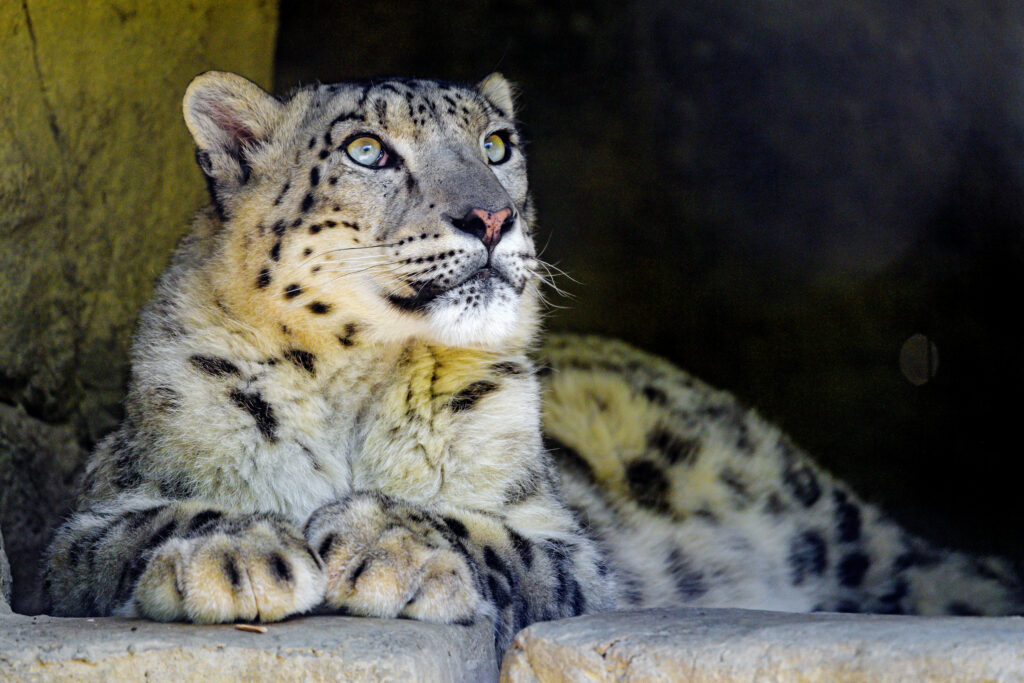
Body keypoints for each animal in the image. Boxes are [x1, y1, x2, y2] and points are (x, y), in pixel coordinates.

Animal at [43, 71, 1023, 663]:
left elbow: (495, 534)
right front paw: (237, 549)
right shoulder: (89, 510)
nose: (491, 217)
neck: (356, 380)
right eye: (367, 150)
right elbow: (128, 527)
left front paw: (382, 536)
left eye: (498, 145)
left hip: (821, 514)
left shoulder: (566, 540)